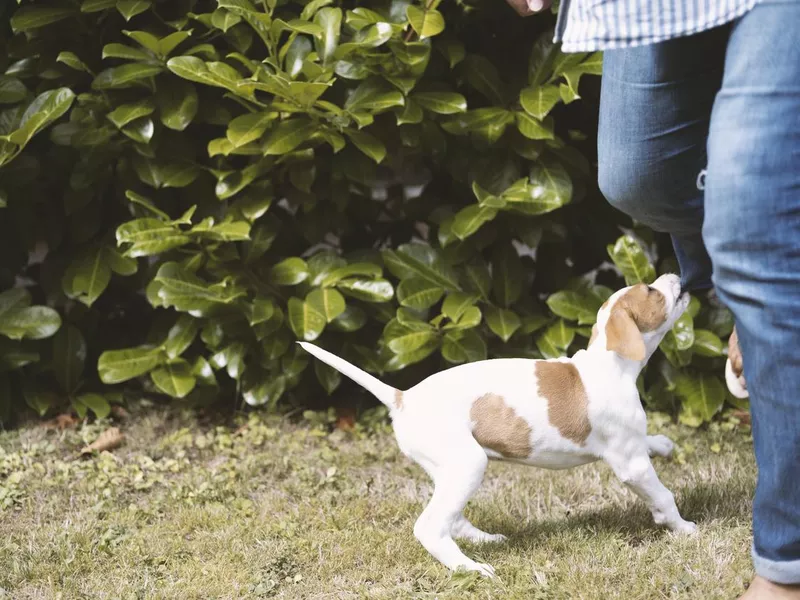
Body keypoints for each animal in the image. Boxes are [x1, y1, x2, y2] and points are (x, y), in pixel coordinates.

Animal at [298, 274, 692, 576]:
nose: (677, 275)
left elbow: (650, 444)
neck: (610, 364)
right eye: (651, 290)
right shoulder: (632, 465)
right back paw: (470, 569)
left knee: (452, 518)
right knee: (430, 527)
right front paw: (685, 529)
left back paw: (485, 540)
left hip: (449, 469)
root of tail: (403, 397)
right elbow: (664, 495)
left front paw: (663, 445)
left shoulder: (631, 446)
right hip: (468, 465)